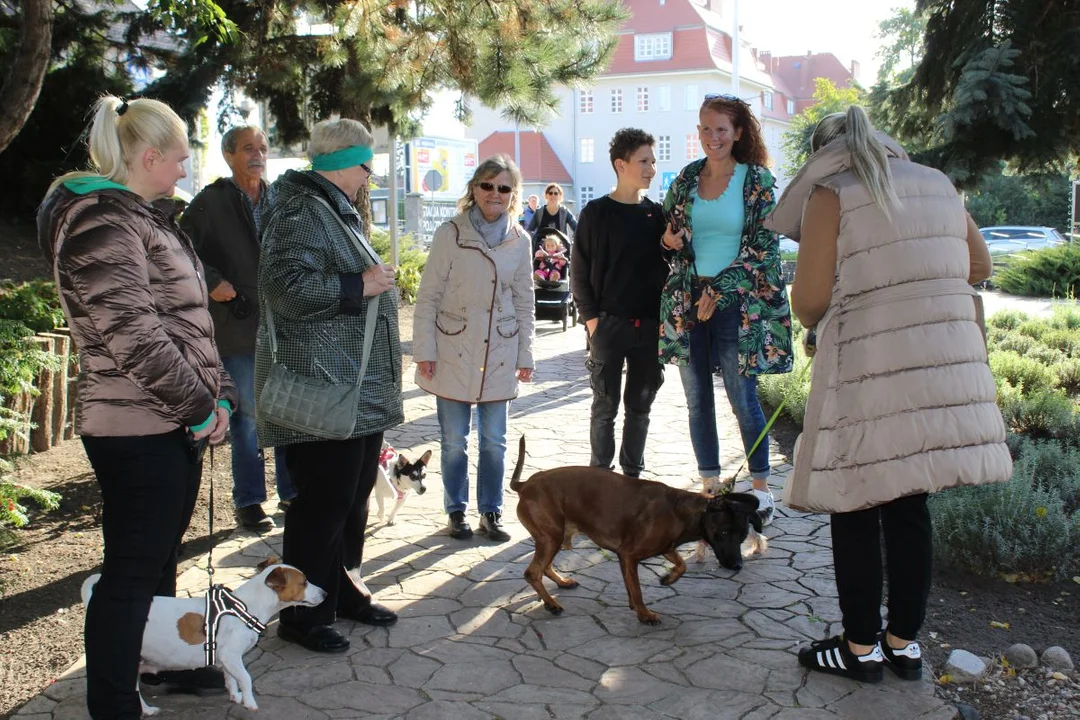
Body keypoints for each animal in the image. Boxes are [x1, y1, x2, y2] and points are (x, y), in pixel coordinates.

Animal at [80, 557, 324, 716]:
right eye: (304, 582)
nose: (325, 593)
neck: (244, 607)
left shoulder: (227, 660)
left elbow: (231, 678)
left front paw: (235, 696)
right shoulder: (232, 656)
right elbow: (245, 678)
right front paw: (249, 702)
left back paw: (147, 710)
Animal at [509, 436, 764, 621]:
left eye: (742, 537)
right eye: (723, 533)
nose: (737, 566)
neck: (681, 511)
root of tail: (524, 485)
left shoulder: (665, 547)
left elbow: (680, 565)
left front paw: (668, 579)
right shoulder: (629, 555)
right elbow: (638, 590)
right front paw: (644, 614)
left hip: (555, 537)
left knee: (543, 567)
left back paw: (562, 582)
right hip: (551, 537)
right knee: (532, 572)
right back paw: (551, 603)